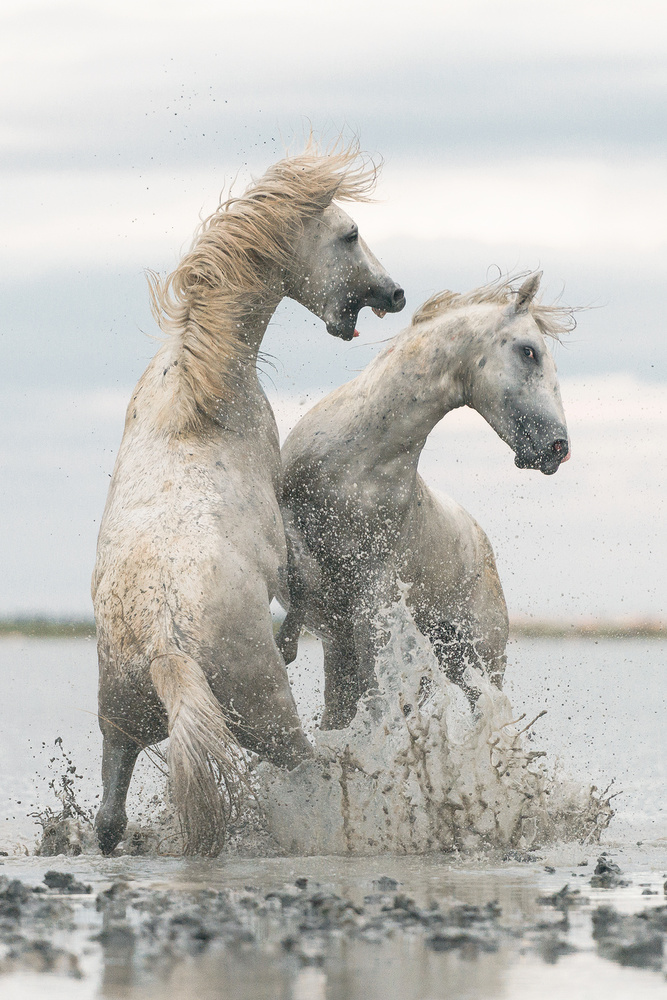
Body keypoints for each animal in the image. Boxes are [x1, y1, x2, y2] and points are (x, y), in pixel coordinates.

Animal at [92, 144, 406, 856]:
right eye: (349, 234)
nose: (394, 293)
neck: (198, 395)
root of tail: (165, 642)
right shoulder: (279, 528)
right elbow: (304, 581)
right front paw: (290, 640)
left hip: (119, 725)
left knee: (108, 818)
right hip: (270, 722)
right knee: (306, 767)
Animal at [277, 273, 573, 728]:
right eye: (529, 351)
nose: (558, 447)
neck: (358, 464)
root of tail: (481, 541)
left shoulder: (373, 595)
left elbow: (377, 698)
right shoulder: (290, 517)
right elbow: (300, 572)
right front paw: (285, 643)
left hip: (477, 661)